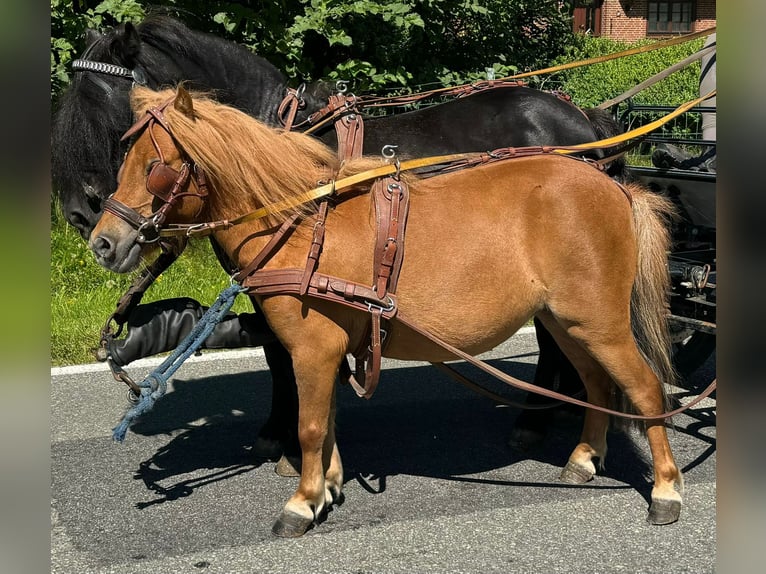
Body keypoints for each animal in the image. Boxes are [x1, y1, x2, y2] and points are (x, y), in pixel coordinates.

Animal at [52, 15, 632, 470]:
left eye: (105, 104)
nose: (83, 219)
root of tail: (582, 119)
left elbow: (279, 351)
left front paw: (282, 436)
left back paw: (539, 421)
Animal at [91, 86, 684, 540]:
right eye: (124, 162)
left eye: (155, 168)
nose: (102, 243)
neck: (300, 225)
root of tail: (614, 185)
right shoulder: (328, 349)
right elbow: (328, 419)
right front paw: (327, 486)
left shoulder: (311, 348)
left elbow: (309, 424)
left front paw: (301, 501)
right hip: (569, 322)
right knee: (597, 384)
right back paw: (584, 458)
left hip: (599, 322)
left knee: (644, 390)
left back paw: (665, 490)